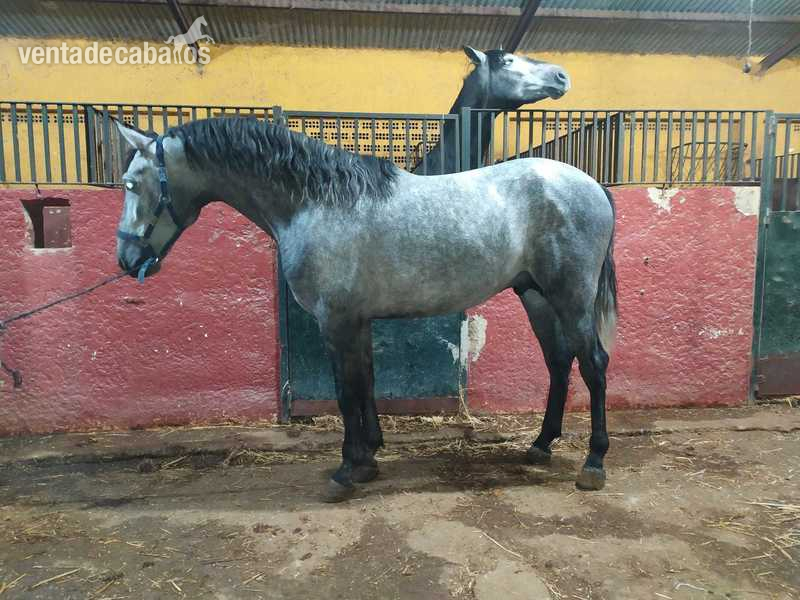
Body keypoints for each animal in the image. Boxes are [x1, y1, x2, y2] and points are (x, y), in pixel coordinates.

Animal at [114, 116, 617, 503]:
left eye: (132, 183)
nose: (126, 260)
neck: (316, 203)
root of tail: (593, 184)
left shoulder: (336, 322)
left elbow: (346, 391)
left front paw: (347, 469)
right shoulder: (357, 321)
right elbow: (366, 384)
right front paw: (370, 456)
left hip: (570, 297)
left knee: (593, 364)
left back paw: (593, 463)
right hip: (536, 297)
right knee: (559, 363)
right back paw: (541, 445)